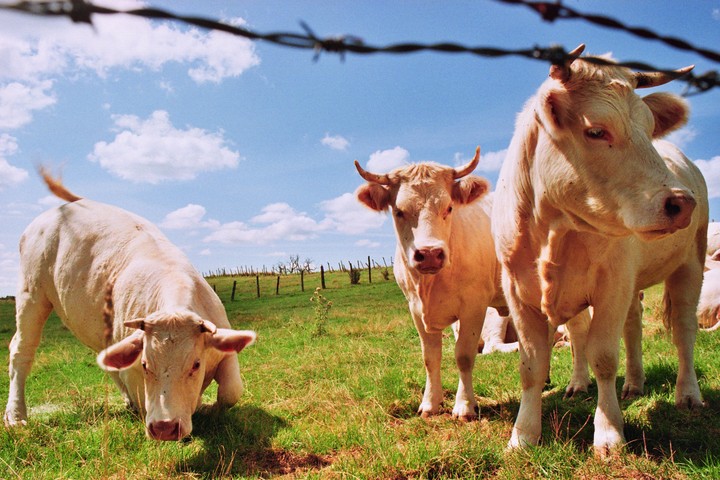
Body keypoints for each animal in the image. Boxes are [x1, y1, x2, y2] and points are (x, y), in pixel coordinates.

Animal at [4, 171, 257, 441]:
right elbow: (142, 400)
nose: (165, 428)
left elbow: (231, 391)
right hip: (31, 292)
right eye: (145, 364)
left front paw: (206, 406)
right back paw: (16, 415)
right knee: (21, 349)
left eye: (195, 364)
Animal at [354, 148, 517, 421]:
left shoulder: (474, 306)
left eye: (449, 207)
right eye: (399, 211)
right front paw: (430, 403)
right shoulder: (415, 309)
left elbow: (464, 355)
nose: (430, 253)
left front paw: (465, 406)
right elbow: (430, 357)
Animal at [491, 44, 708, 456]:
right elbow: (532, 365)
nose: (681, 203)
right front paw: (523, 435)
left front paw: (608, 433)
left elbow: (604, 356)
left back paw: (687, 394)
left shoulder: (613, 282)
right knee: (622, 326)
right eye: (596, 130)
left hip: (690, 262)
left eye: (648, 129)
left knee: (684, 329)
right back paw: (623, 384)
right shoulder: (518, 292)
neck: (554, 229)